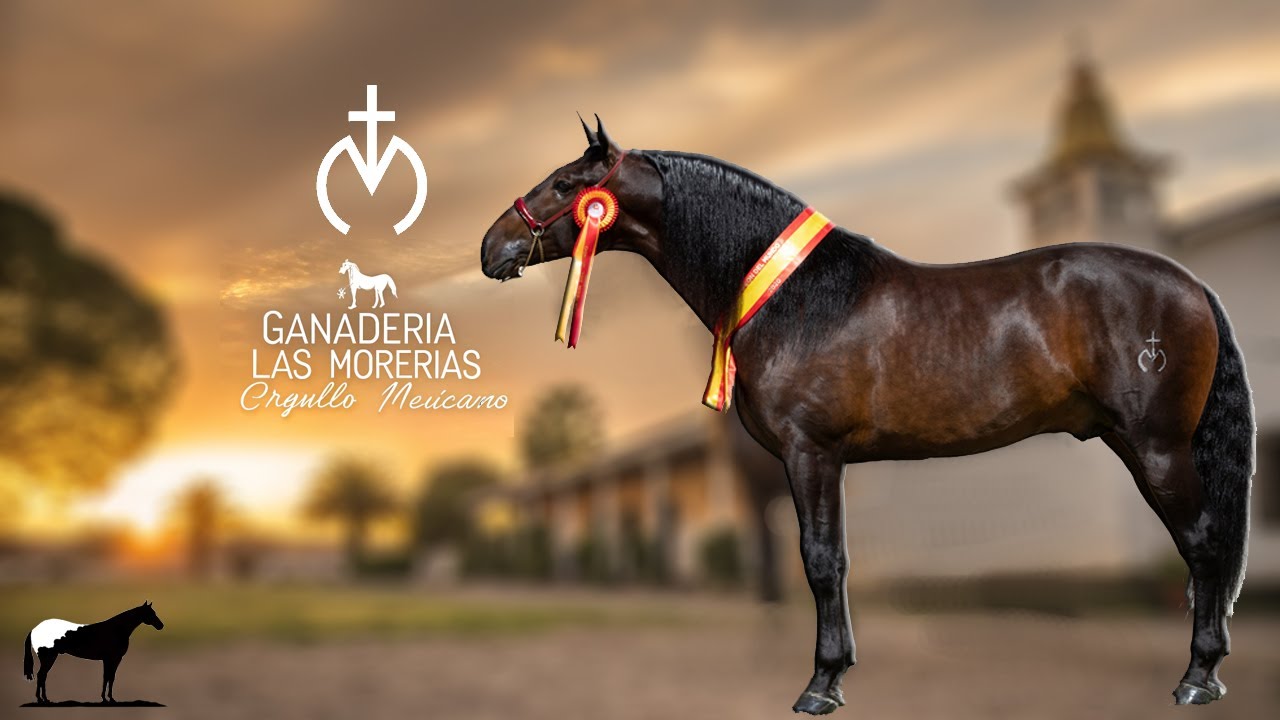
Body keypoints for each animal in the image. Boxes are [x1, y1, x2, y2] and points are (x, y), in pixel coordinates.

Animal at [23, 601, 164, 704]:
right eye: (151, 614)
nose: (161, 626)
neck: (117, 629)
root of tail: (35, 629)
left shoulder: (110, 659)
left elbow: (108, 677)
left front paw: (106, 698)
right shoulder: (112, 659)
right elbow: (109, 677)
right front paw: (109, 698)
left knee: (43, 676)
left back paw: (44, 699)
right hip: (49, 657)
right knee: (41, 675)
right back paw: (41, 699)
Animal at [480, 118, 1254, 714]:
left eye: (565, 185)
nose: (493, 247)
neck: (800, 300)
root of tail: (1192, 285)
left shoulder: (810, 452)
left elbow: (822, 561)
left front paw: (821, 685)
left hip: (1157, 446)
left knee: (1205, 542)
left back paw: (1197, 679)